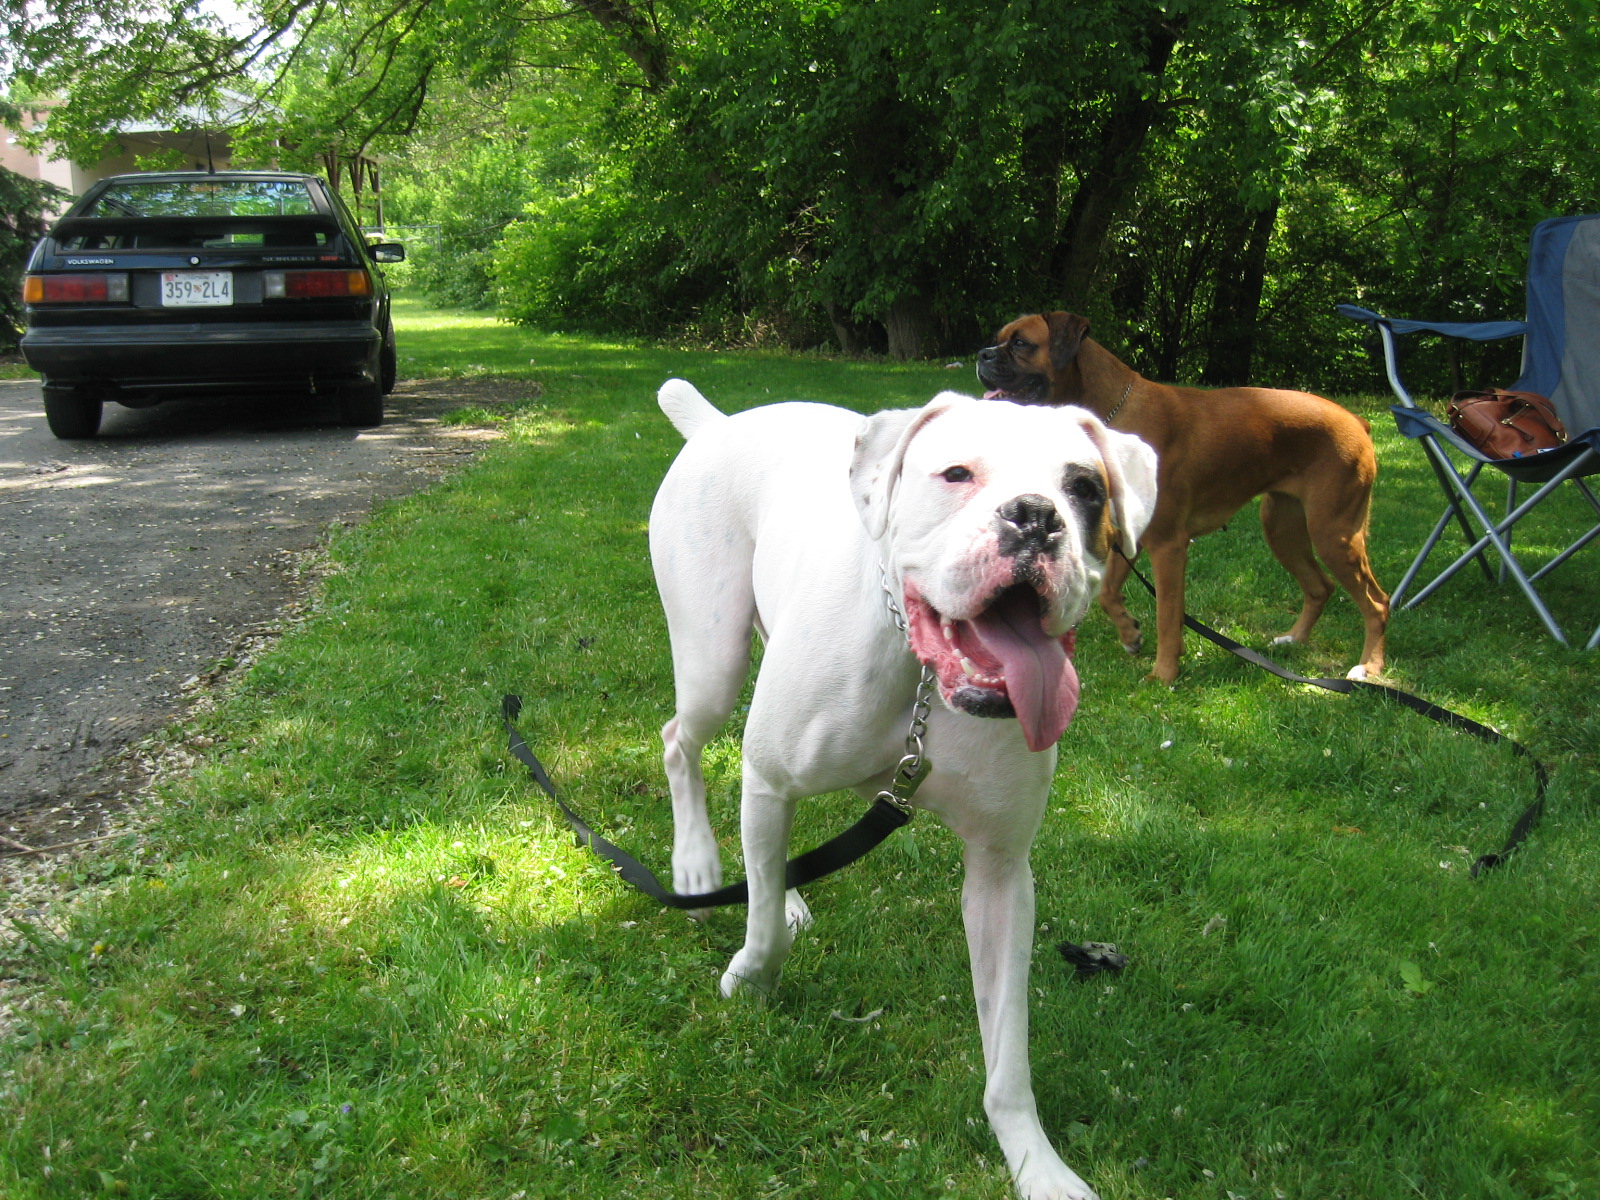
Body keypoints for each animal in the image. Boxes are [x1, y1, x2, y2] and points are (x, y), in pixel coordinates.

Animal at [649, 380, 1157, 1200]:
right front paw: (751, 982)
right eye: (956, 473)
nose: (1035, 515)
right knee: (683, 744)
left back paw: (782, 889)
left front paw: (1035, 1161)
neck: (921, 679)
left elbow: (1008, 1050)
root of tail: (717, 424)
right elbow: (759, 929)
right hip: (710, 663)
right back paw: (698, 866)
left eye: (1085, 488)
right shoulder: (772, 770)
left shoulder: (1001, 874)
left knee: (765, 843)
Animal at [977, 311, 1388, 685]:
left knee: (1377, 603)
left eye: (1020, 343)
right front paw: (1132, 635)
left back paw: (1367, 668)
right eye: (999, 338)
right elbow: (1110, 594)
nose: (982, 353)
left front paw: (1163, 675)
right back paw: (1293, 642)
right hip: (1283, 528)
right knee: (1320, 587)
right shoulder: (1130, 538)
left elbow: (1167, 614)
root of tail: (1356, 420)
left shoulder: (1168, 546)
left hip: (1333, 533)